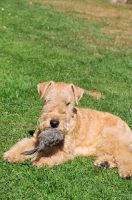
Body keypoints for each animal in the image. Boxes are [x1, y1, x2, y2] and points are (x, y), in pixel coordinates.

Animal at [3, 81, 132, 178]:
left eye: (68, 103)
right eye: (47, 100)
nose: (54, 123)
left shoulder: (66, 151)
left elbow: (50, 155)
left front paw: (39, 160)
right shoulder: (35, 140)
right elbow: (22, 146)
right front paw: (11, 155)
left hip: (113, 139)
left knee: (125, 155)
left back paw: (126, 172)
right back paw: (104, 163)